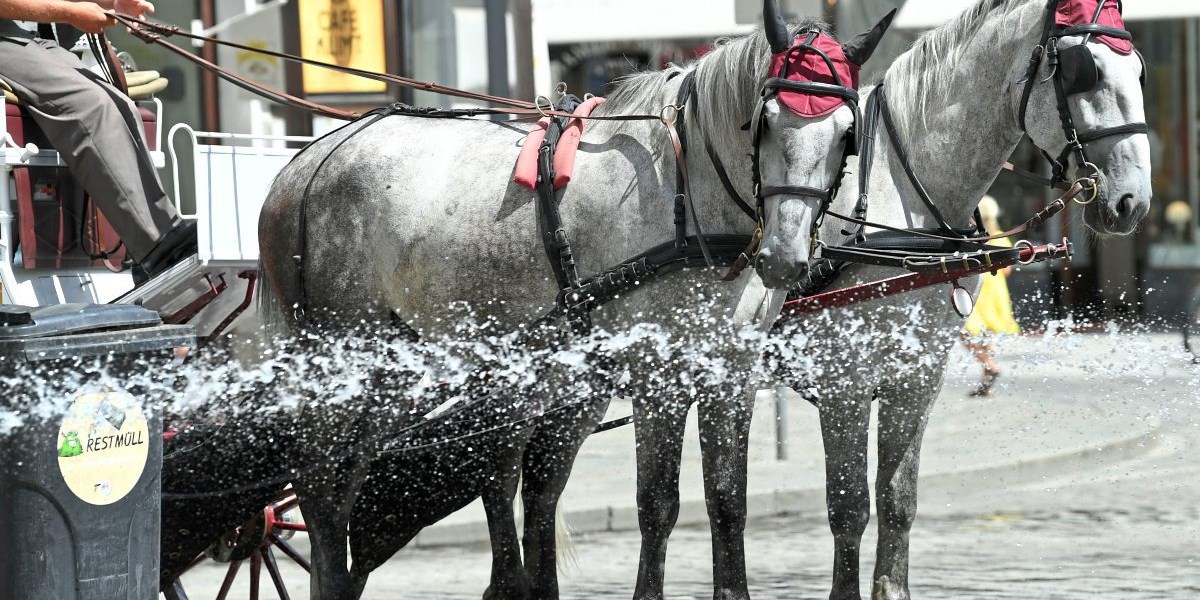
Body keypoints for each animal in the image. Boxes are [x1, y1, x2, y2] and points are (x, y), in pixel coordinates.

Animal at [258, 5, 878, 600]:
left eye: (848, 131)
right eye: (764, 120)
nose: (785, 256)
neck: (684, 185)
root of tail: (307, 163)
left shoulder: (730, 369)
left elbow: (727, 500)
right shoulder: (658, 372)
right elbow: (658, 504)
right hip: (347, 362)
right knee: (321, 491)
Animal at [758, 1, 1152, 600]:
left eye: (1140, 72)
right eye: (1082, 71)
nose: (1134, 201)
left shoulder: (915, 381)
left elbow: (898, 502)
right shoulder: (843, 384)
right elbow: (848, 509)